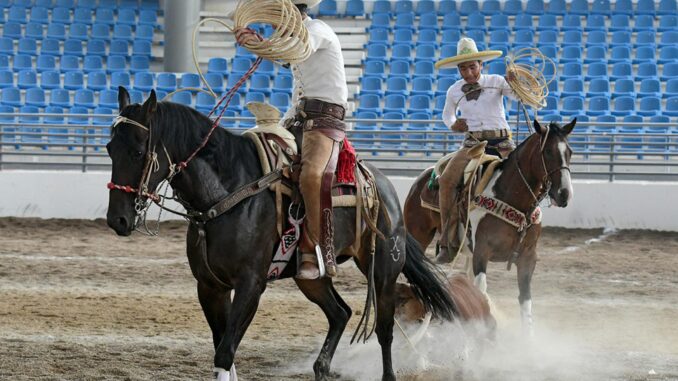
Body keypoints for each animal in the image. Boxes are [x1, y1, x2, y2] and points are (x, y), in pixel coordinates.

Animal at [105, 87, 456, 378]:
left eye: (138, 152)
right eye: (109, 148)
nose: (117, 220)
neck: (226, 193)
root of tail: (381, 184)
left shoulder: (251, 285)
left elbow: (225, 352)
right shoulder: (209, 286)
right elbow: (222, 349)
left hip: (383, 269)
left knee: (384, 330)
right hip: (310, 277)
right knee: (340, 313)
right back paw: (321, 368)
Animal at [406, 119, 576, 332]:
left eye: (570, 152)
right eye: (548, 152)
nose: (564, 194)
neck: (512, 198)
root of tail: (421, 178)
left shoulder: (528, 256)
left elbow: (525, 300)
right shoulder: (482, 251)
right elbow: (481, 290)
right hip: (418, 235)